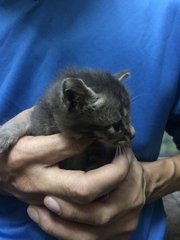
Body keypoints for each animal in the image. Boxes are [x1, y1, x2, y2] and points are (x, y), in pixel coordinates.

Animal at [0, 68, 134, 171]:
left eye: (129, 117)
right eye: (116, 125)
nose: (133, 135)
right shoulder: (38, 121)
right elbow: (26, 123)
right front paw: (5, 134)